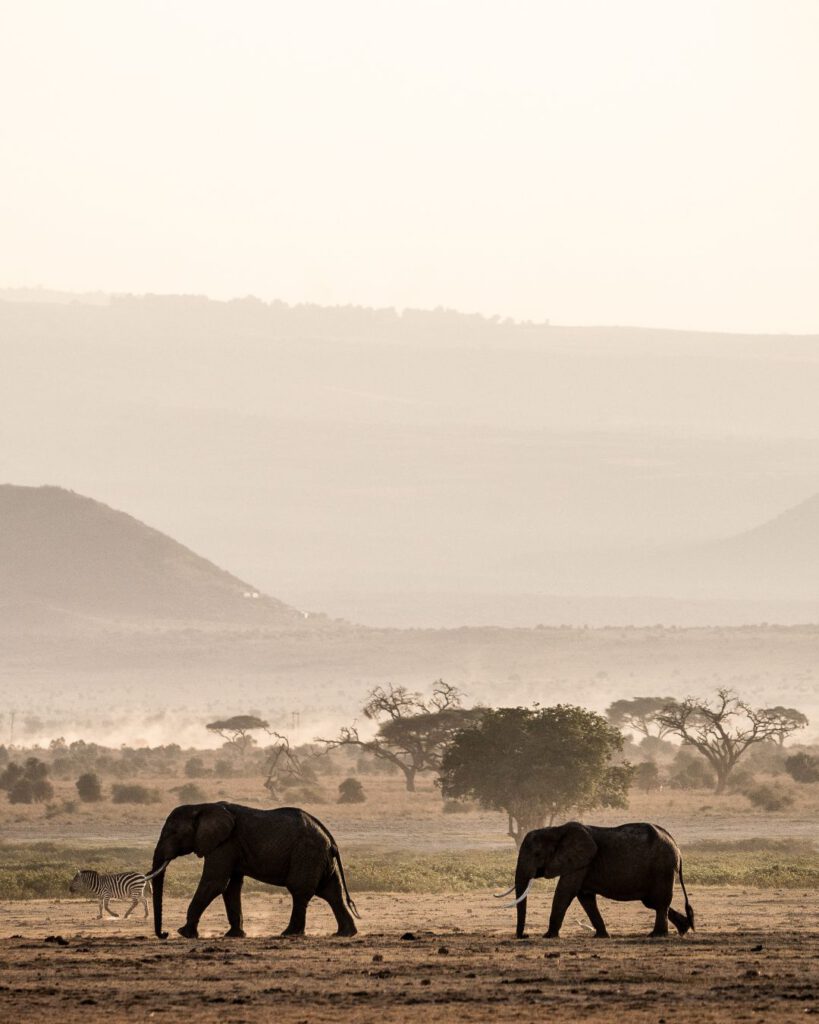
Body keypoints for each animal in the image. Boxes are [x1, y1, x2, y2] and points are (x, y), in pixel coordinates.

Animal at [149, 802, 358, 937]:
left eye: (171, 832)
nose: (164, 933)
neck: (201, 807)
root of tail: (331, 841)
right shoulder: (229, 847)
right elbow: (230, 887)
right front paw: (235, 935)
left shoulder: (224, 844)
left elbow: (215, 883)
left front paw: (184, 933)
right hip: (319, 859)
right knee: (332, 893)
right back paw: (344, 934)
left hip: (307, 854)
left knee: (300, 890)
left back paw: (289, 934)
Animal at [495, 819, 696, 937]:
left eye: (537, 854)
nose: (524, 935)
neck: (555, 830)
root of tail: (678, 849)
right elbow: (585, 898)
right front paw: (602, 936)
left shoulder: (580, 861)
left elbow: (565, 892)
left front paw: (548, 936)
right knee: (655, 902)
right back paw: (684, 928)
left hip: (662, 868)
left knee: (659, 903)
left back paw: (657, 935)